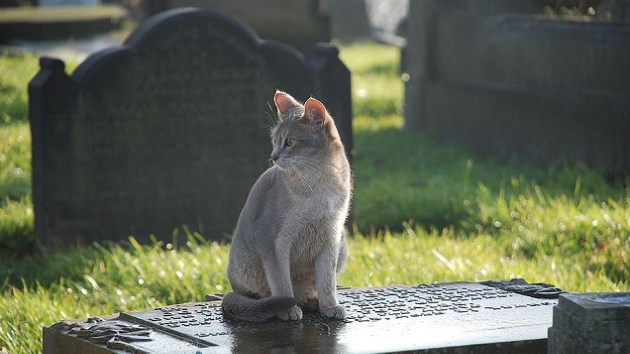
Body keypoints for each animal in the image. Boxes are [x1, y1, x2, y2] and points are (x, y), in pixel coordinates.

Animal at [222, 90, 354, 322]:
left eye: (290, 142)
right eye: (275, 140)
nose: (273, 156)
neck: (320, 184)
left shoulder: (331, 237)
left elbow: (327, 281)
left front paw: (330, 306)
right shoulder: (274, 242)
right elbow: (281, 282)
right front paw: (288, 309)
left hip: (342, 245)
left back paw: (311, 301)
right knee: (265, 295)